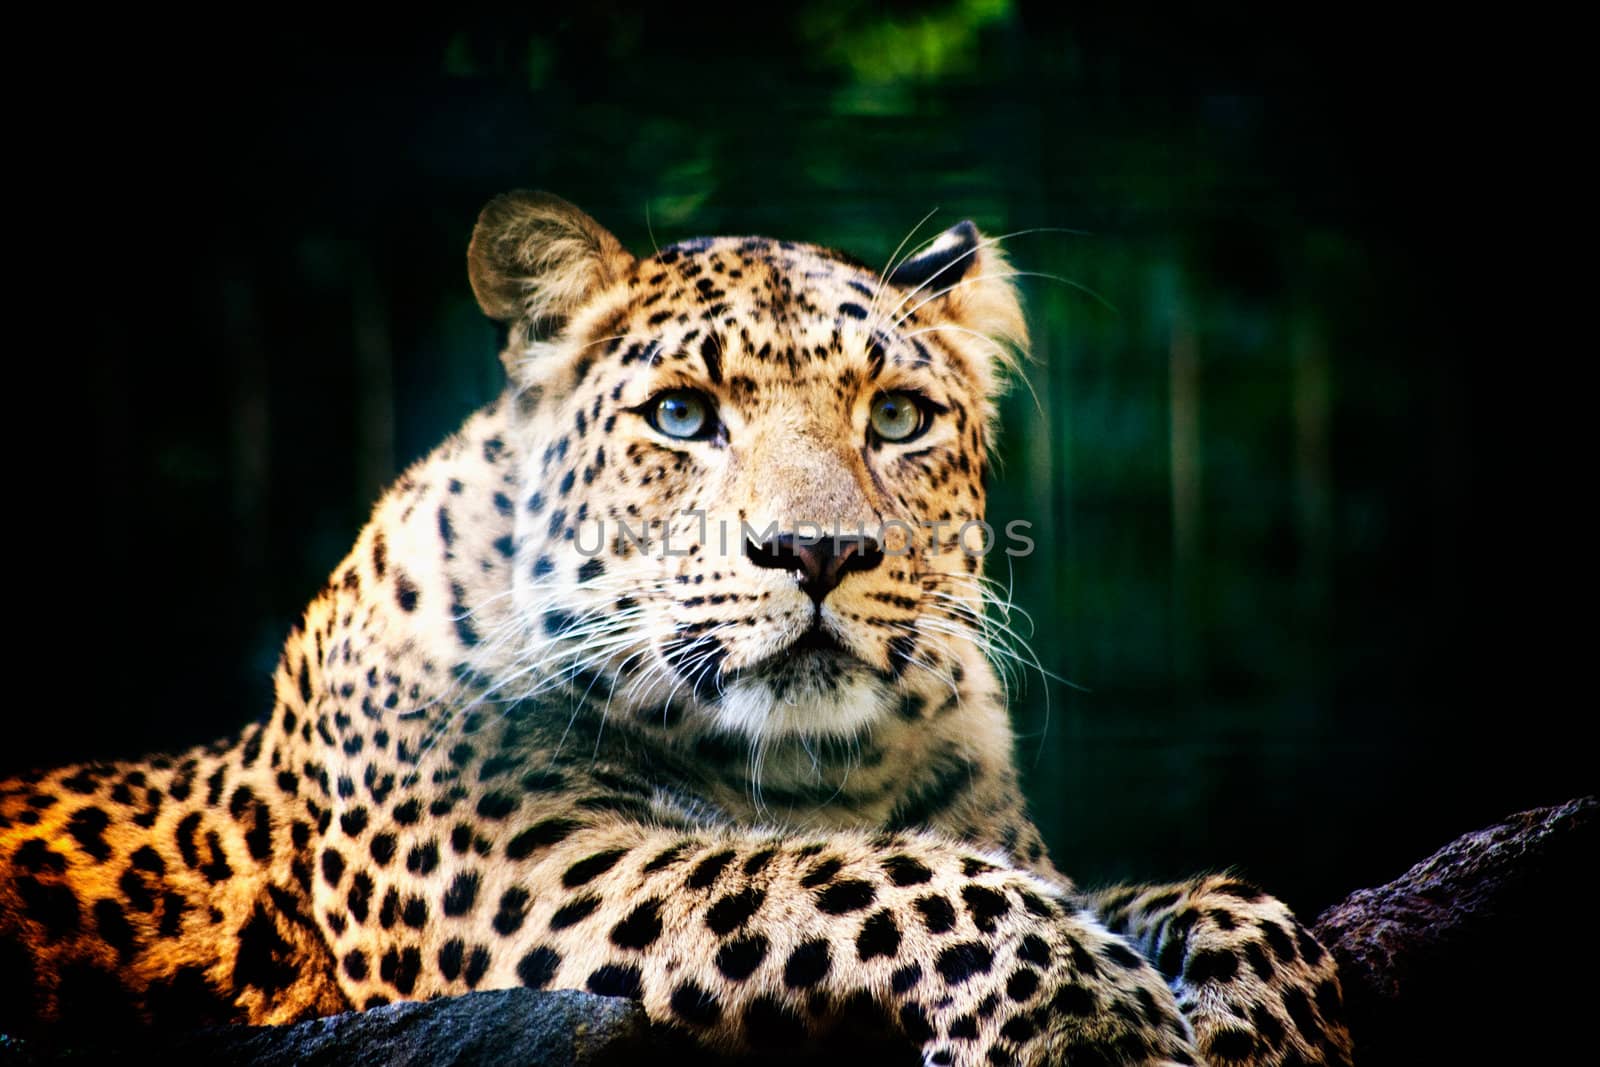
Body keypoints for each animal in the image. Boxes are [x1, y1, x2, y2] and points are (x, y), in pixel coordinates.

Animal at [0, 194, 1350, 1067]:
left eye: (899, 417)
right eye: (683, 416)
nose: (818, 552)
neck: (809, 763)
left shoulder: (1037, 849)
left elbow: (1210, 891)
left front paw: (1272, 1018)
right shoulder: (523, 870)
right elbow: (839, 871)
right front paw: (1087, 1012)